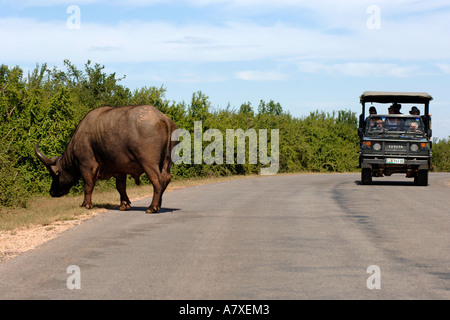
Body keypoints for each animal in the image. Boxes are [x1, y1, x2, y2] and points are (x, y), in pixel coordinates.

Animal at [34, 105, 178, 214]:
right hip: (167, 161)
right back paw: (158, 205)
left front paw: (86, 204)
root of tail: (162, 118)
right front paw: (124, 205)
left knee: (158, 180)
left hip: (149, 163)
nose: (52, 192)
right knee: (166, 178)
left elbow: (88, 185)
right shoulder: (120, 169)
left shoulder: (86, 165)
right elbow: (121, 187)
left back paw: (152, 207)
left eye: (54, 174)